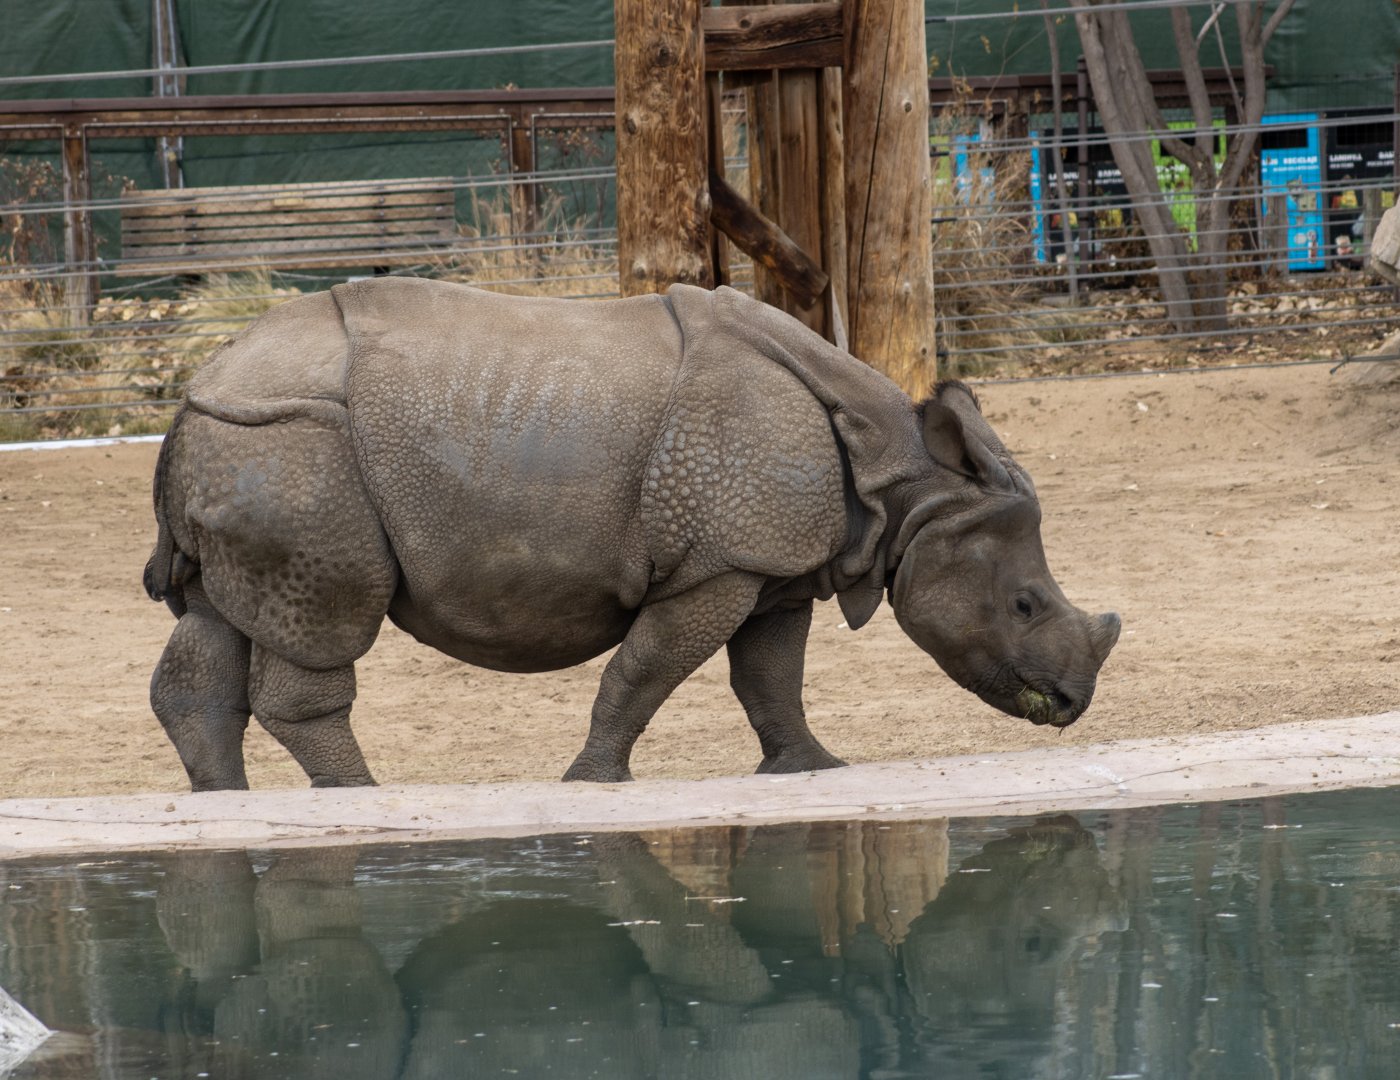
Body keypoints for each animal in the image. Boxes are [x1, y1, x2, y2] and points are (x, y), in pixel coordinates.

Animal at [144, 278, 1120, 791]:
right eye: (1023, 604)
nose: (1073, 703)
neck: (902, 486)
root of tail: (194, 388)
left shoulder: (768, 564)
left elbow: (771, 678)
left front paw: (812, 772)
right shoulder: (717, 566)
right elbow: (645, 671)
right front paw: (593, 783)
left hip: (254, 442)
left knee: (224, 621)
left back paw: (225, 807)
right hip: (297, 446)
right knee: (321, 628)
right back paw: (363, 799)